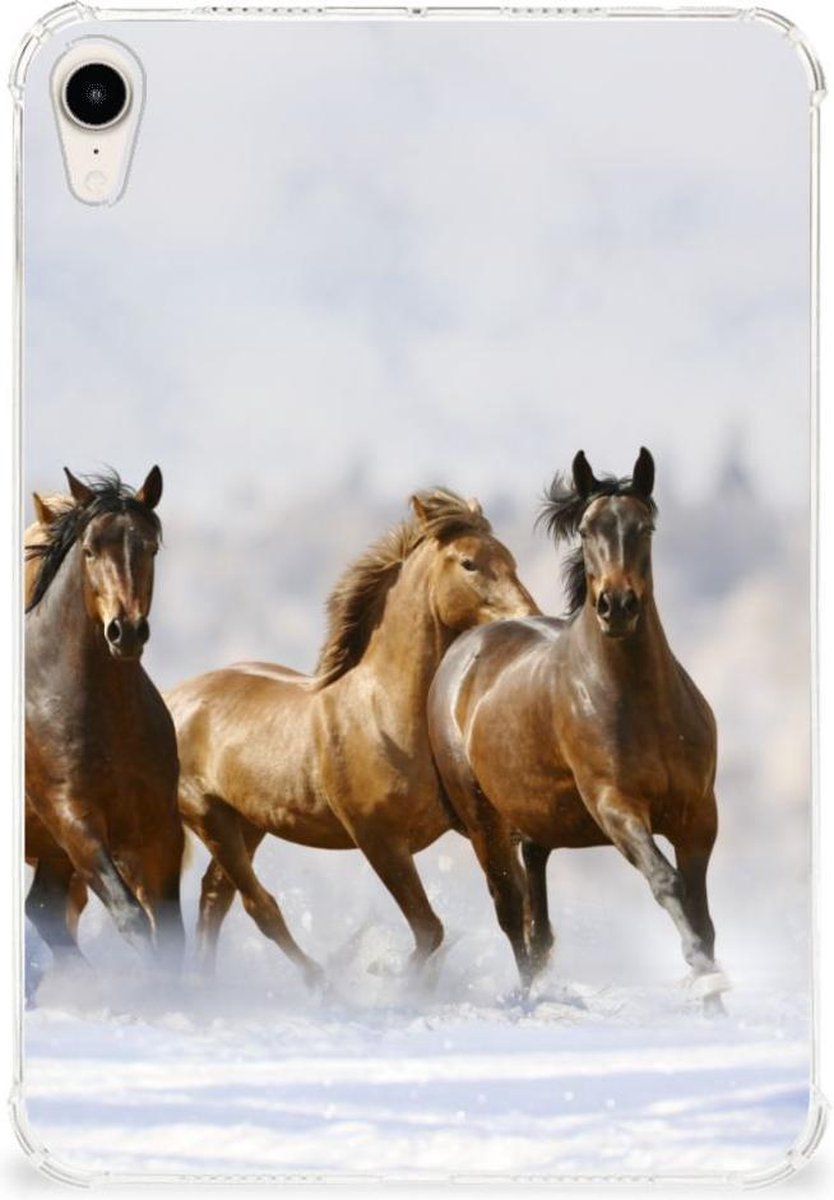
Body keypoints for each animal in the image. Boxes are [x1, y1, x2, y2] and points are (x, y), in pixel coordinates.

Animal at [25, 467, 185, 972]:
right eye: (90, 549)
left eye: (150, 547)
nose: (125, 631)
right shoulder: (73, 819)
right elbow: (131, 916)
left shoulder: (159, 828)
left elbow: (170, 930)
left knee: (44, 907)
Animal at [167, 489, 538, 985]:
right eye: (469, 563)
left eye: (509, 559)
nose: (529, 618)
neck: (386, 714)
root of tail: (172, 700)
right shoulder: (378, 839)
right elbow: (430, 930)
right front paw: (396, 983)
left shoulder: (480, 825)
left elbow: (512, 905)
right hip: (210, 817)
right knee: (257, 905)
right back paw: (321, 982)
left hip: (247, 822)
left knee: (214, 898)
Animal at [428, 449, 729, 1013]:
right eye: (587, 530)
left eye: (644, 527)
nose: (617, 606)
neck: (640, 704)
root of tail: (464, 650)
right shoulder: (615, 806)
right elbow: (667, 882)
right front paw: (705, 978)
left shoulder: (698, 815)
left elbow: (701, 912)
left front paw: (716, 1000)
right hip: (484, 823)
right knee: (511, 911)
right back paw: (528, 1000)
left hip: (537, 823)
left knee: (537, 920)